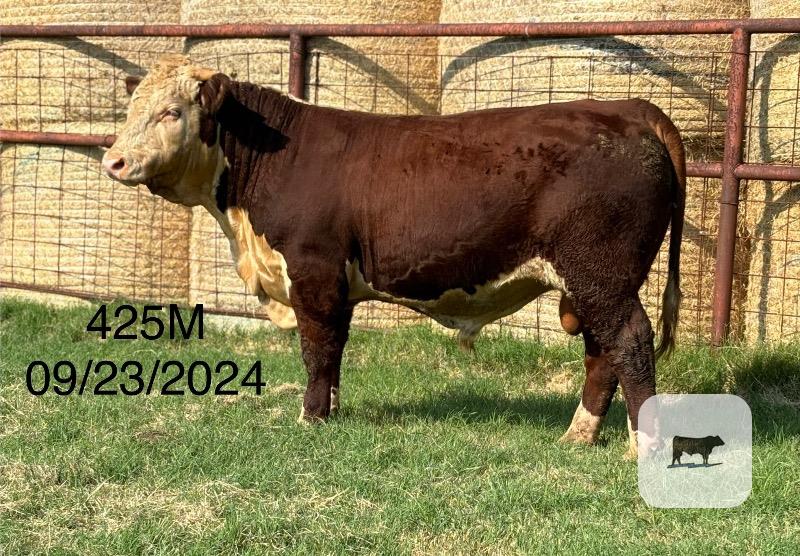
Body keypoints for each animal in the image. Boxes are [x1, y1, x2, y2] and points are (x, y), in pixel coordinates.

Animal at [102, 55, 685, 458]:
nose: (114, 161)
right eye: (130, 110)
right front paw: (331, 411)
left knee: (629, 342)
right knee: (601, 354)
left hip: (601, 275)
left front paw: (310, 418)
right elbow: (333, 352)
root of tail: (626, 108)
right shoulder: (334, 284)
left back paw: (642, 444)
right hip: (592, 283)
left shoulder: (314, 272)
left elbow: (317, 350)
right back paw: (578, 436)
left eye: (172, 112)